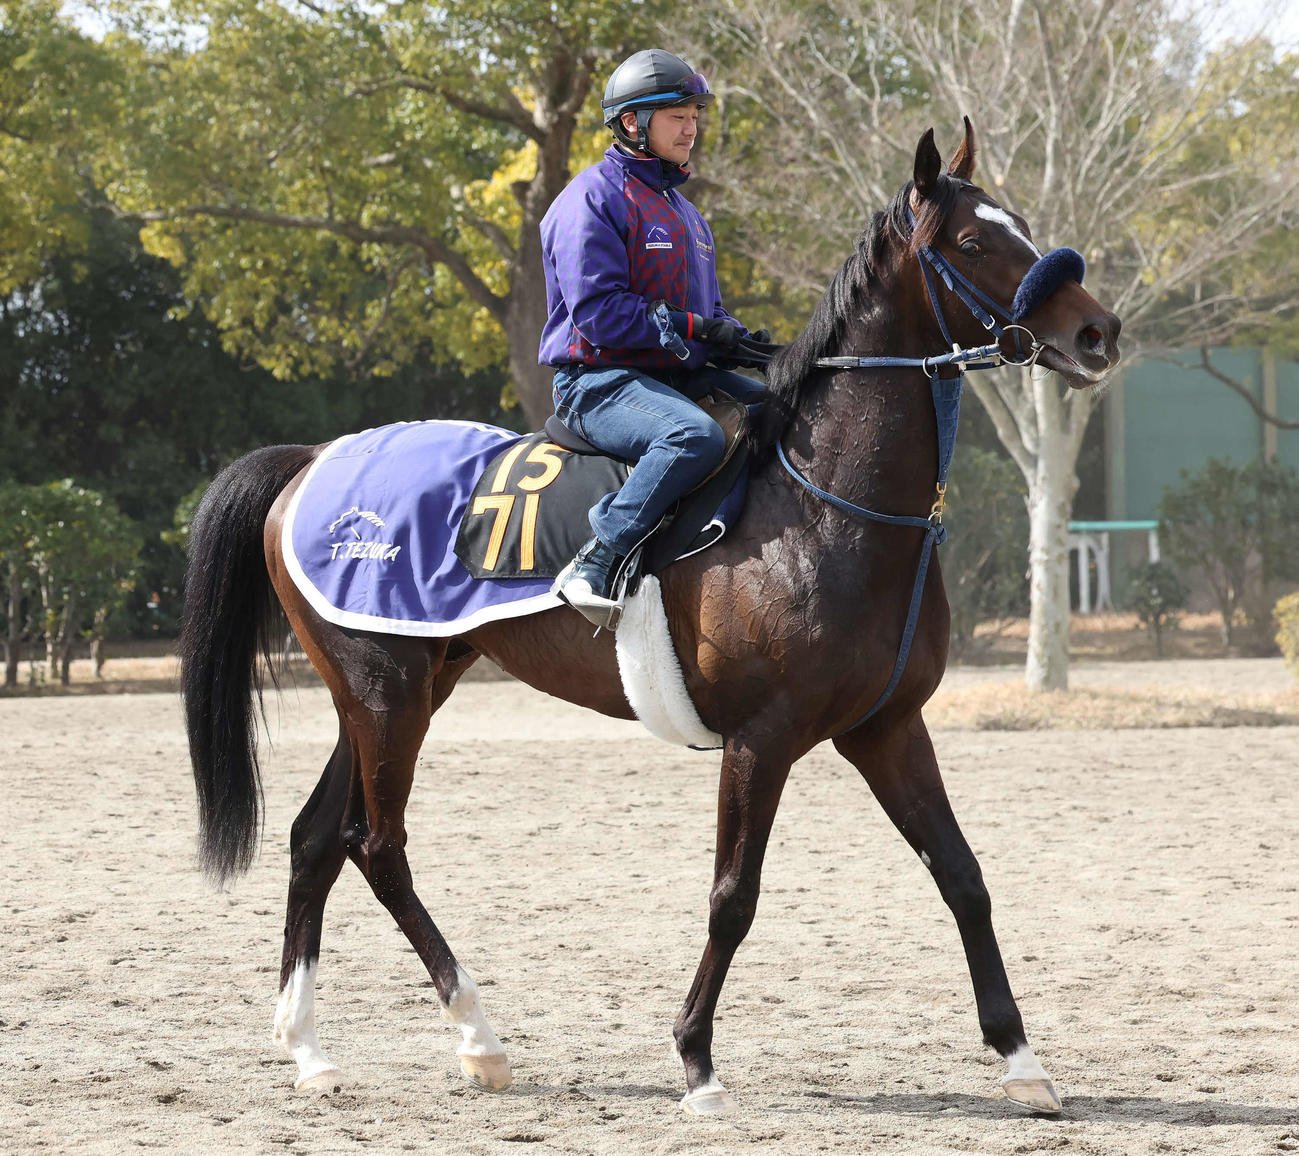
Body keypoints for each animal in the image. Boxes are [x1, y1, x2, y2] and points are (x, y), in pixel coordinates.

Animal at [180, 120, 1121, 1116]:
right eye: (975, 243)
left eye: (1021, 225)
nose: (1097, 330)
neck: (821, 507)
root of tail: (312, 460)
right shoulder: (761, 738)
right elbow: (733, 897)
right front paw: (696, 1060)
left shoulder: (887, 728)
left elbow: (963, 877)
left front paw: (1020, 1056)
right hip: (384, 694)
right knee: (378, 845)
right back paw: (477, 1034)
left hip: (397, 690)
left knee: (317, 839)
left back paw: (311, 1050)